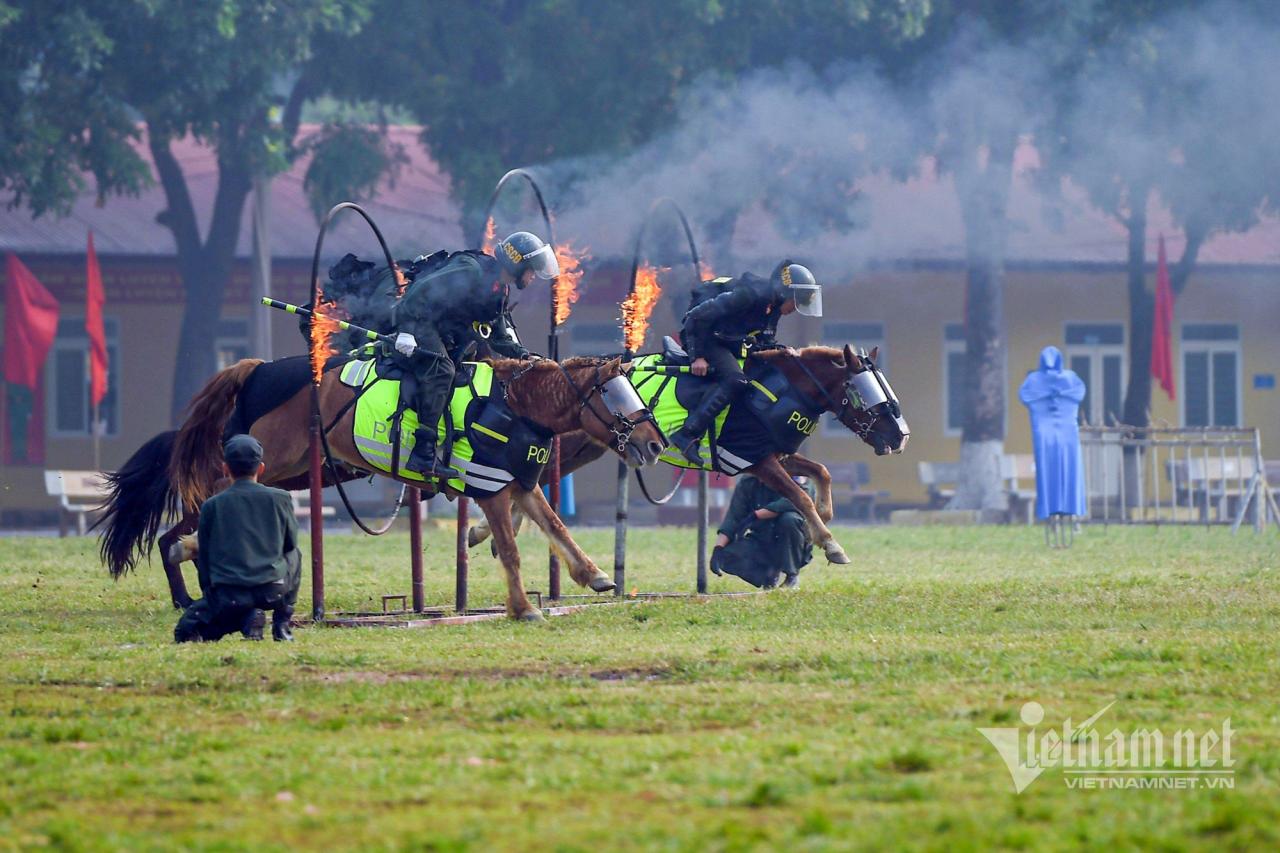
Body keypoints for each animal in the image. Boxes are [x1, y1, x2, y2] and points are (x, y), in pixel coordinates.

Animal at [94, 353, 665, 617]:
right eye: (615, 394)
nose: (655, 443)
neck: (515, 405)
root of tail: (257, 370)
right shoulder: (491, 490)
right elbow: (511, 547)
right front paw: (523, 608)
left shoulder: (521, 484)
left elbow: (555, 529)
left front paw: (595, 576)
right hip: (270, 459)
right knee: (204, 502)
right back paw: (193, 568)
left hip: (285, 469)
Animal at [465, 343, 906, 560]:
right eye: (866, 393)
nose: (901, 436)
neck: (780, 388)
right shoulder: (756, 458)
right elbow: (800, 494)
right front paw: (830, 542)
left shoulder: (773, 455)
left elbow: (821, 473)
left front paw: (825, 517)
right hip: (573, 444)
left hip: (588, 448)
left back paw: (489, 530)